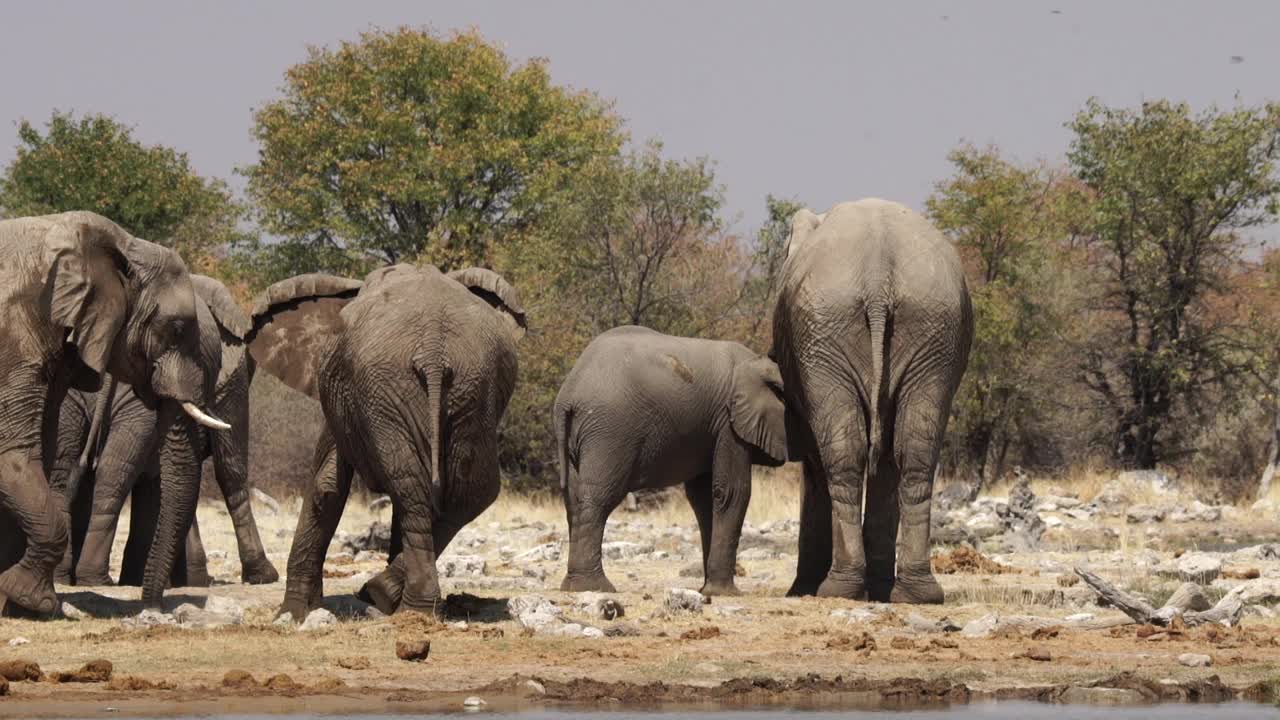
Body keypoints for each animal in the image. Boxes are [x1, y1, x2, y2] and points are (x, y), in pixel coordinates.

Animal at [0, 210, 227, 614]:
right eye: (177, 328)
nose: (153, 609)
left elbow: (42, 450)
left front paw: (18, 603)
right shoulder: (16, 335)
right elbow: (15, 454)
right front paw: (32, 599)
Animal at [53, 274, 280, 589]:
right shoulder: (228, 380)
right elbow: (230, 469)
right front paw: (263, 576)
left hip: (75, 390)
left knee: (70, 465)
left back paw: (72, 577)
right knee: (112, 471)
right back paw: (96, 579)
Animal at [244, 263, 524, 617]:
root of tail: (433, 346)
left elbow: (326, 485)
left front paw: (293, 613)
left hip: (390, 387)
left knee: (418, 486)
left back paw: (399, 601)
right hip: (469, 385)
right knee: (467, 490)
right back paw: (400, 599)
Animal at [555, 325, 783, 594]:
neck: (759, 363)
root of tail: (569, 394)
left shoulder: (709, 428)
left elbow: (704, 498)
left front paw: (707, 590)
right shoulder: (729, 424)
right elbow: (731, 493)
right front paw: (725, 593)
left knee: (573, 498)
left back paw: (575, 586)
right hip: (610, 432)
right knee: (598, 496)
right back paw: (593, 587)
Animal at [768, 198, 967, 602]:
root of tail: (878, 273)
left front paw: (803, 590)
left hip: (832, 331)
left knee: (845, 455)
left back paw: (836, 589)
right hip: (931, 329)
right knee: (914, 452)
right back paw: (915, 594)